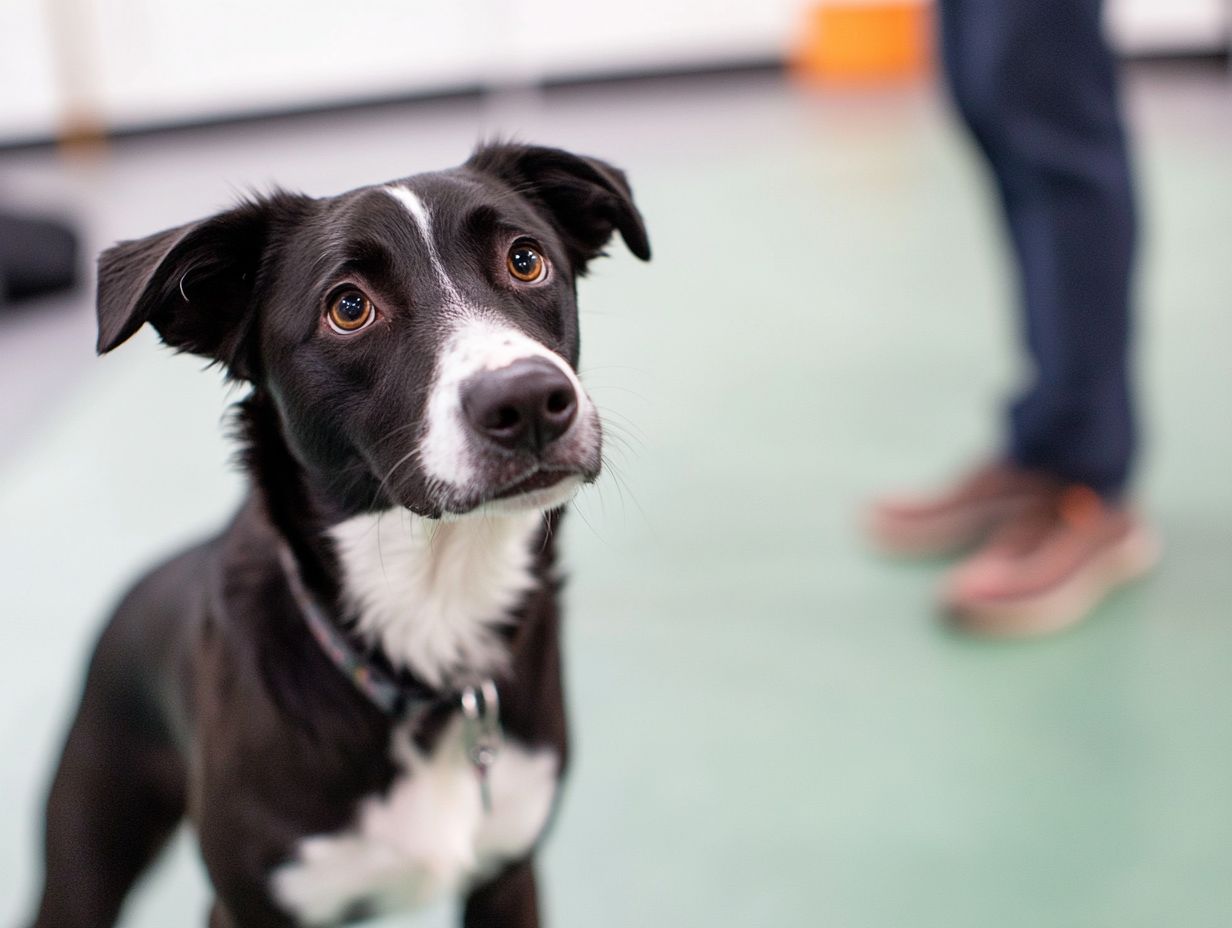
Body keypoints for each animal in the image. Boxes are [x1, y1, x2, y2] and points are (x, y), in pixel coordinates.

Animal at [28, 139, 650, 926]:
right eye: (348, 307)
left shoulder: (510, 875)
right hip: (89, 843)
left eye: (525, 259)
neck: (430, 620)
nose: (531, 400)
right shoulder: (250, 904)